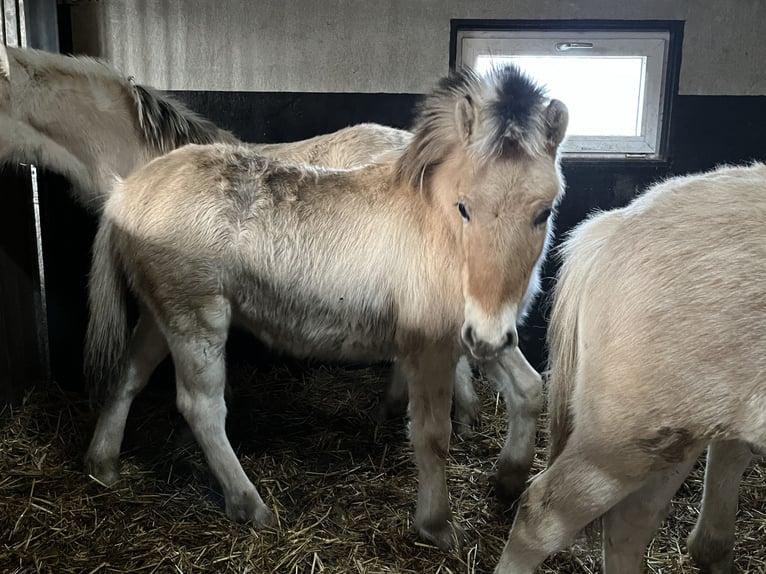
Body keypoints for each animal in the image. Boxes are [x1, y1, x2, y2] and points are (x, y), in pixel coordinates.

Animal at [83, 64, 568, 549]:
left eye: (543, 212)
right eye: (464, 206)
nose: (486, 335)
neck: (440, 230)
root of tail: (128, 190)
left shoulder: (481, 331)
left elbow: (529, 390)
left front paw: (507, 482)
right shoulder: (431, 344)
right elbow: (432, 435)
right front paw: (437, 525)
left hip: (160, 313)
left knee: (128, 375)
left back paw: (102, 465)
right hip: (195, 317)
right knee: (201, 406)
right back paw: (249, 505)